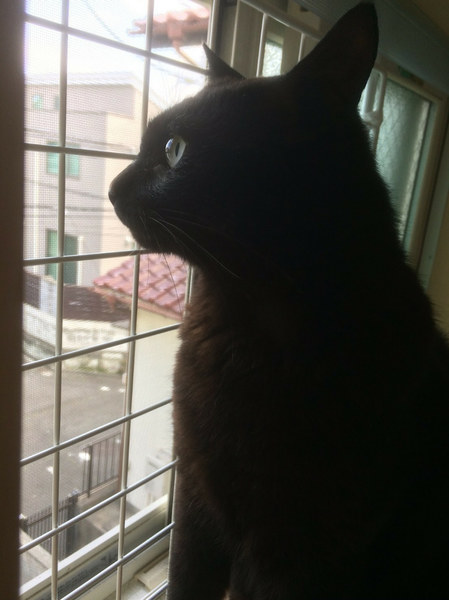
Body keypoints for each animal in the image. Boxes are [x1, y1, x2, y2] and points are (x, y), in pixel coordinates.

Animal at [109, 3, 449, 598]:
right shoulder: (195, 497)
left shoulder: (302, 551)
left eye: (174, 150)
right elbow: (184, 580)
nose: (112, 187)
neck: (249, 321)